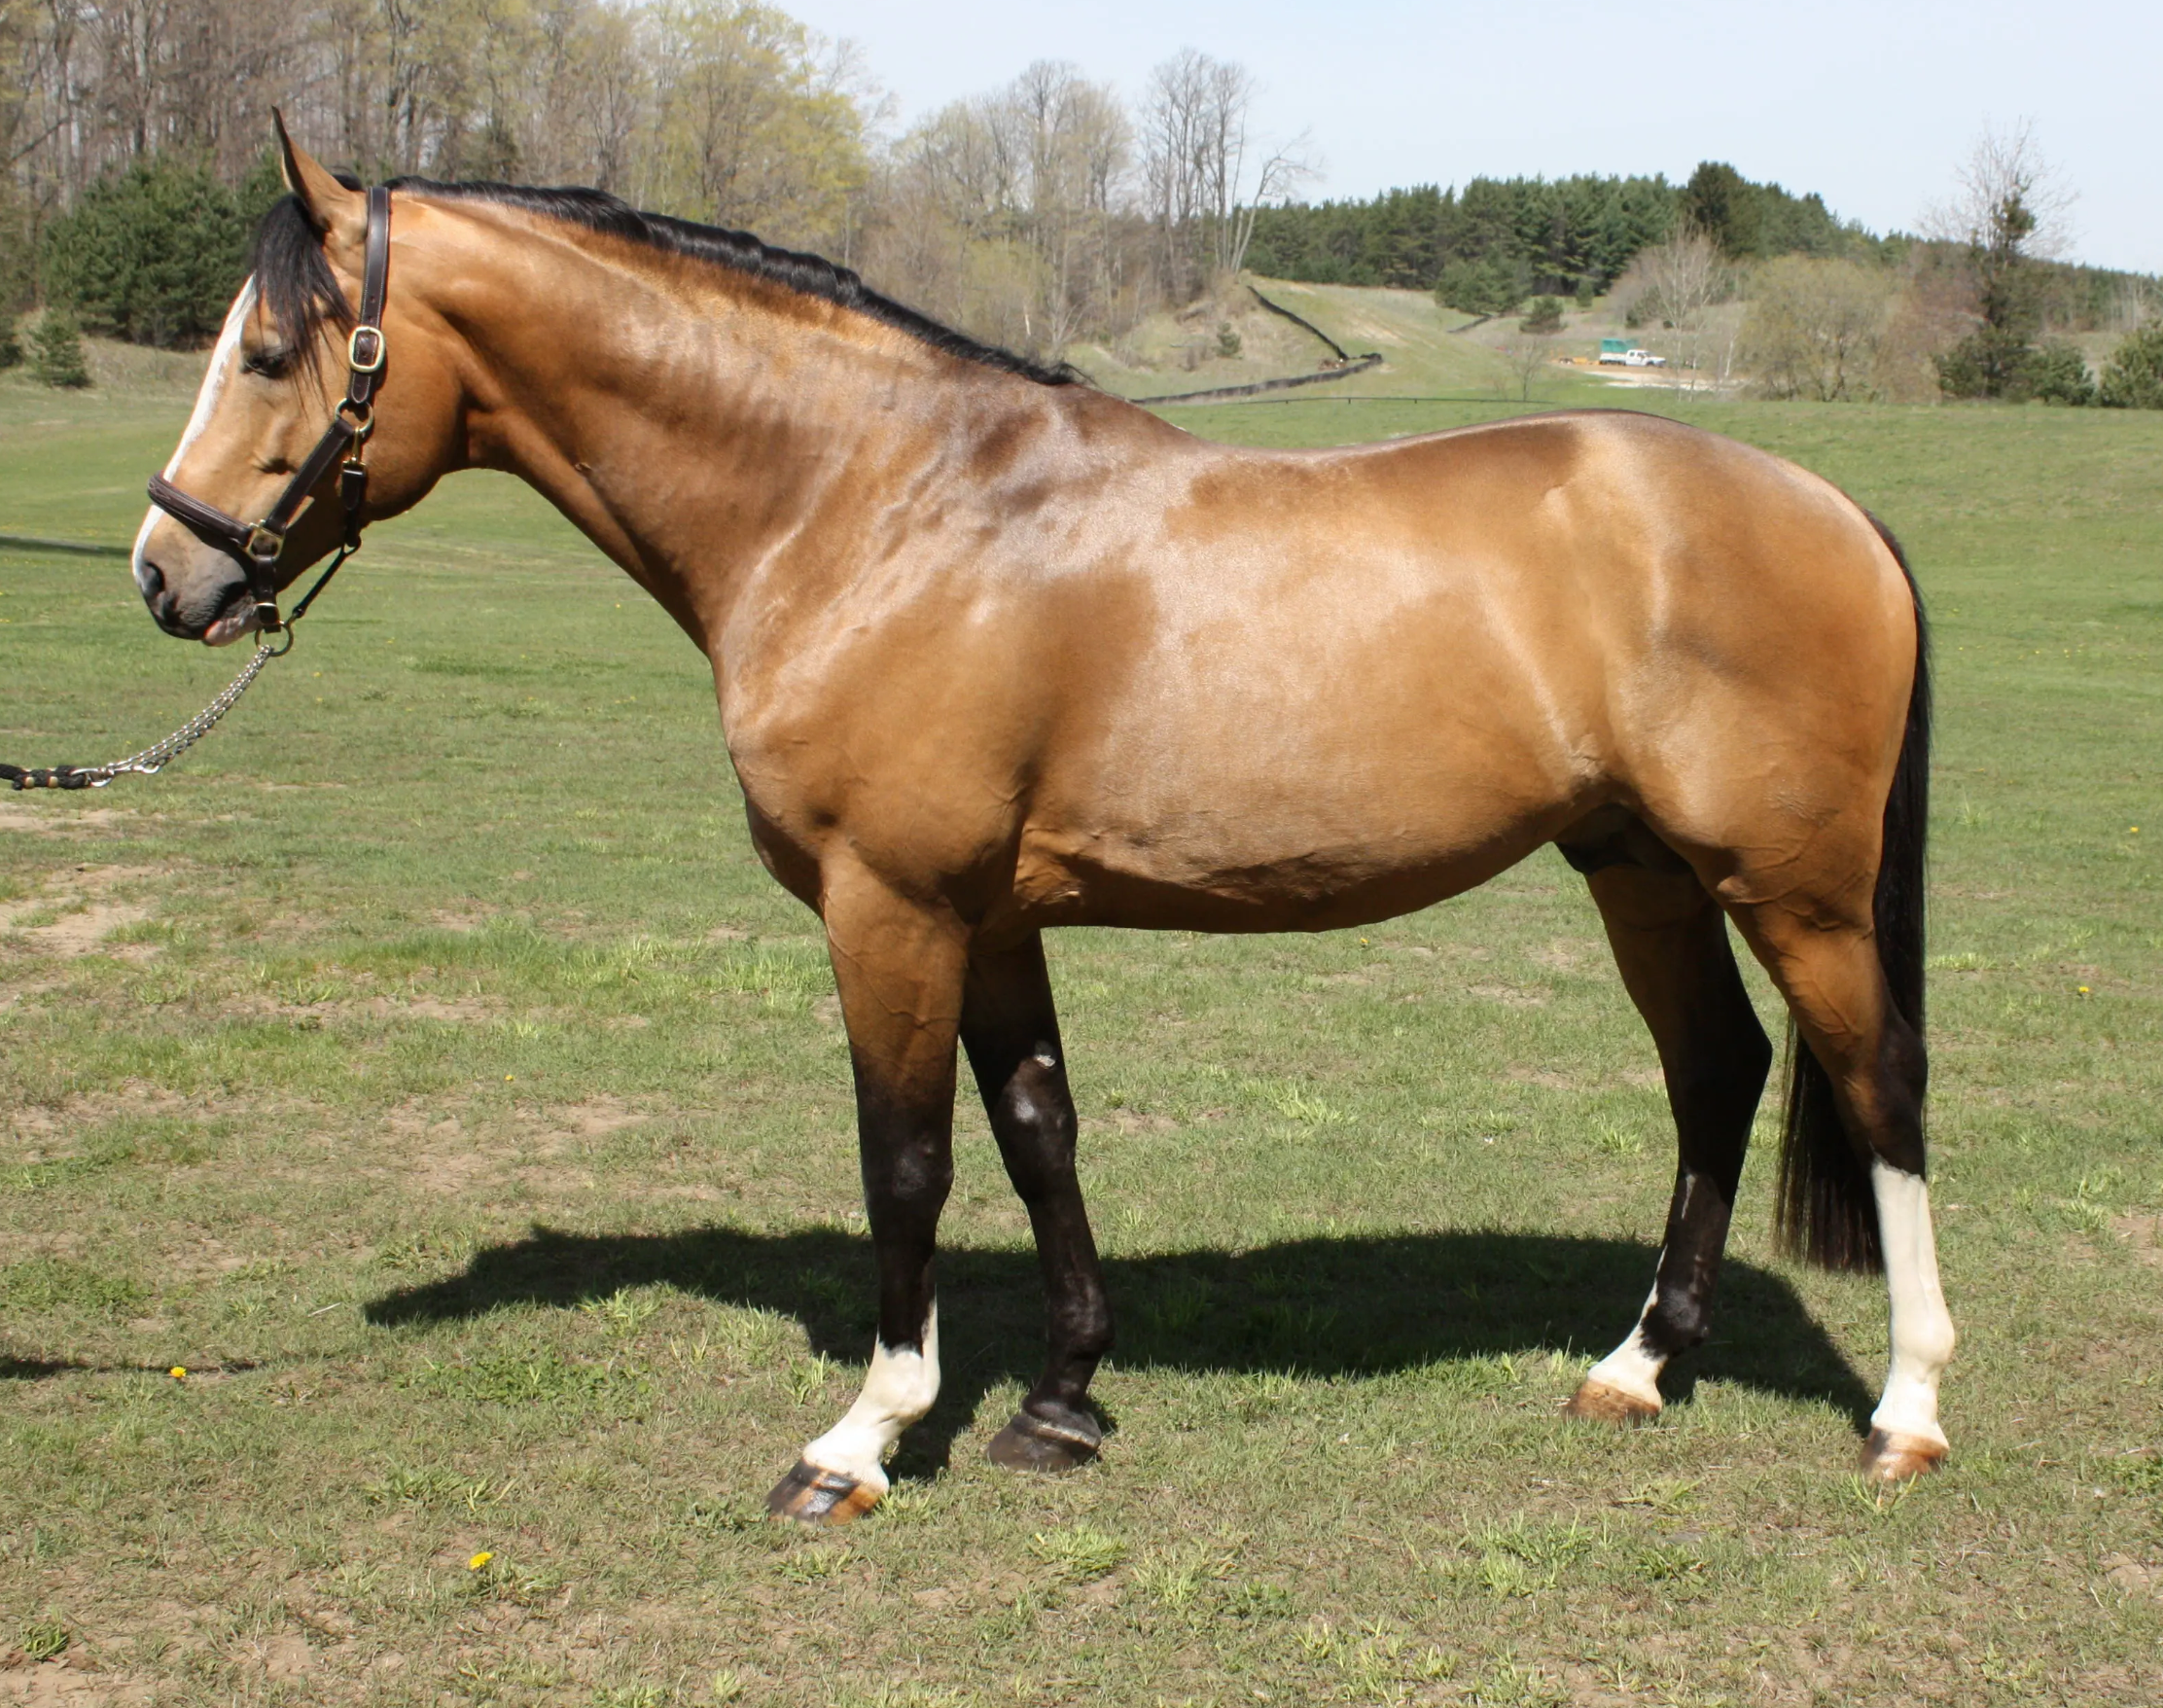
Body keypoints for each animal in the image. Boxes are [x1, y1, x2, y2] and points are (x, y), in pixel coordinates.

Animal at [130, 122, 1954, 1524]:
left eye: (272, 352)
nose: (168, 574)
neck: (876, 503)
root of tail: (1834, 509)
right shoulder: (994, 914)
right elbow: (1035, 1133)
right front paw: (1063, 1399)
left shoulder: (892, 905)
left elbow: (907, 1161)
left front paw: (861, 1440)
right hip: (1639, 870)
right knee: (1717, 1074)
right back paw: (1635, 1368)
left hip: (1793, 890)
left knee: (1875, 1086)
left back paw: (1907, 1411)